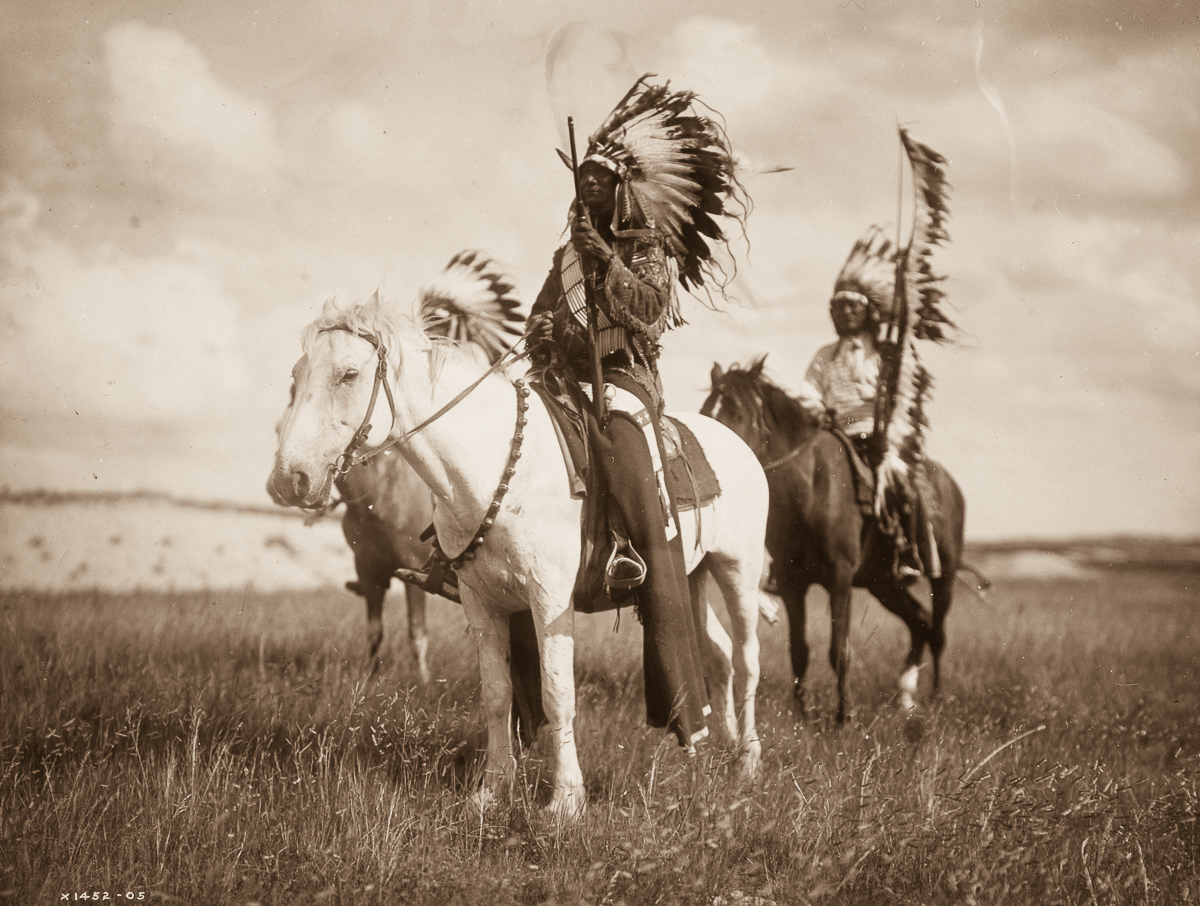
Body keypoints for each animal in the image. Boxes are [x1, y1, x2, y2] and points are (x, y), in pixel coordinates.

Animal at [272, 292, 768, 820]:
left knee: (747, 658)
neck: (492, 467)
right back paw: (719, 745)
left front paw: (565, 801)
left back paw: (746, 763)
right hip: (692, 577)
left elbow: (557, 694)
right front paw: (491, 791)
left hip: (738, 571)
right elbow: (496, 694)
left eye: (348, 374)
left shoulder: (549, 600)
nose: (289, 479)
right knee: (719, 654)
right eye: (296, 374)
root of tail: (738, 444)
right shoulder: (483, 603)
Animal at [700, 360, 969, 724]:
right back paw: (906, 699)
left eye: (738, 412)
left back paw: (936, 698)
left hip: (944, 577)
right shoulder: (792, 582)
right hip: (884, 584)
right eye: (705, 412)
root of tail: (950, 486)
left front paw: (843, 716)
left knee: (938, 632)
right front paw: (802, 715)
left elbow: (839, 650)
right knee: (920, 624)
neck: (811, 487)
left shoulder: (839, 579)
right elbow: (799, 650)